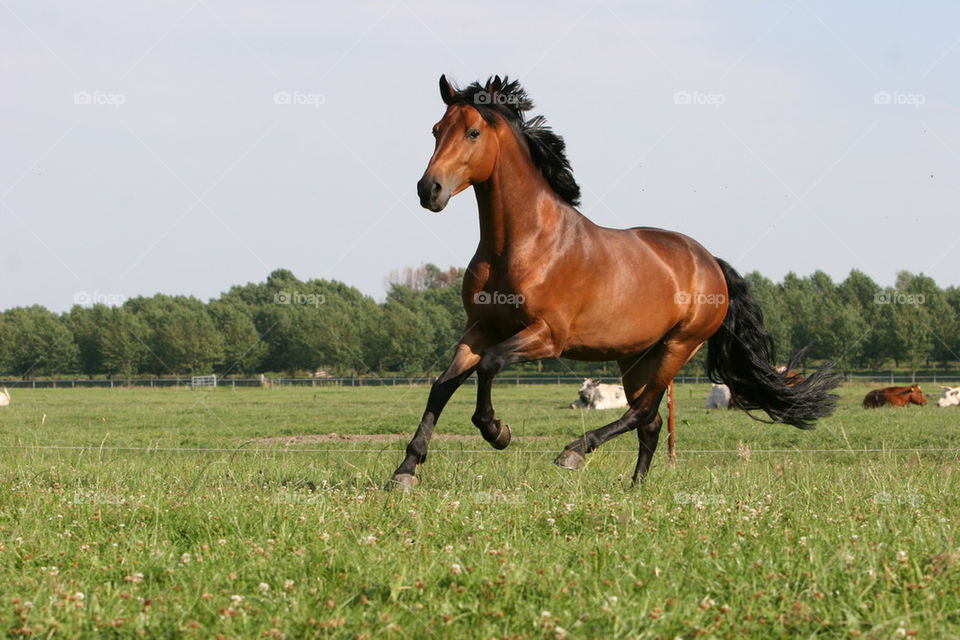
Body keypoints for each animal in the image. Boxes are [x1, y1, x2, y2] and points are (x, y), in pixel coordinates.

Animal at [388, 75, 840, 489]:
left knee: (642, 413)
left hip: (677, 347)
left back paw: (574, 452)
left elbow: (491, 365)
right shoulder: (480, 328)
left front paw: (497, 432)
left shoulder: (547, 336)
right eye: (436, 130)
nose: (429, 189)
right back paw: (635, 487)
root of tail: (709, 261)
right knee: (651, 422)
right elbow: (442, 386)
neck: (522, 244)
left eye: (473, 132)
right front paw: (406, 470)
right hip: (635, 357)